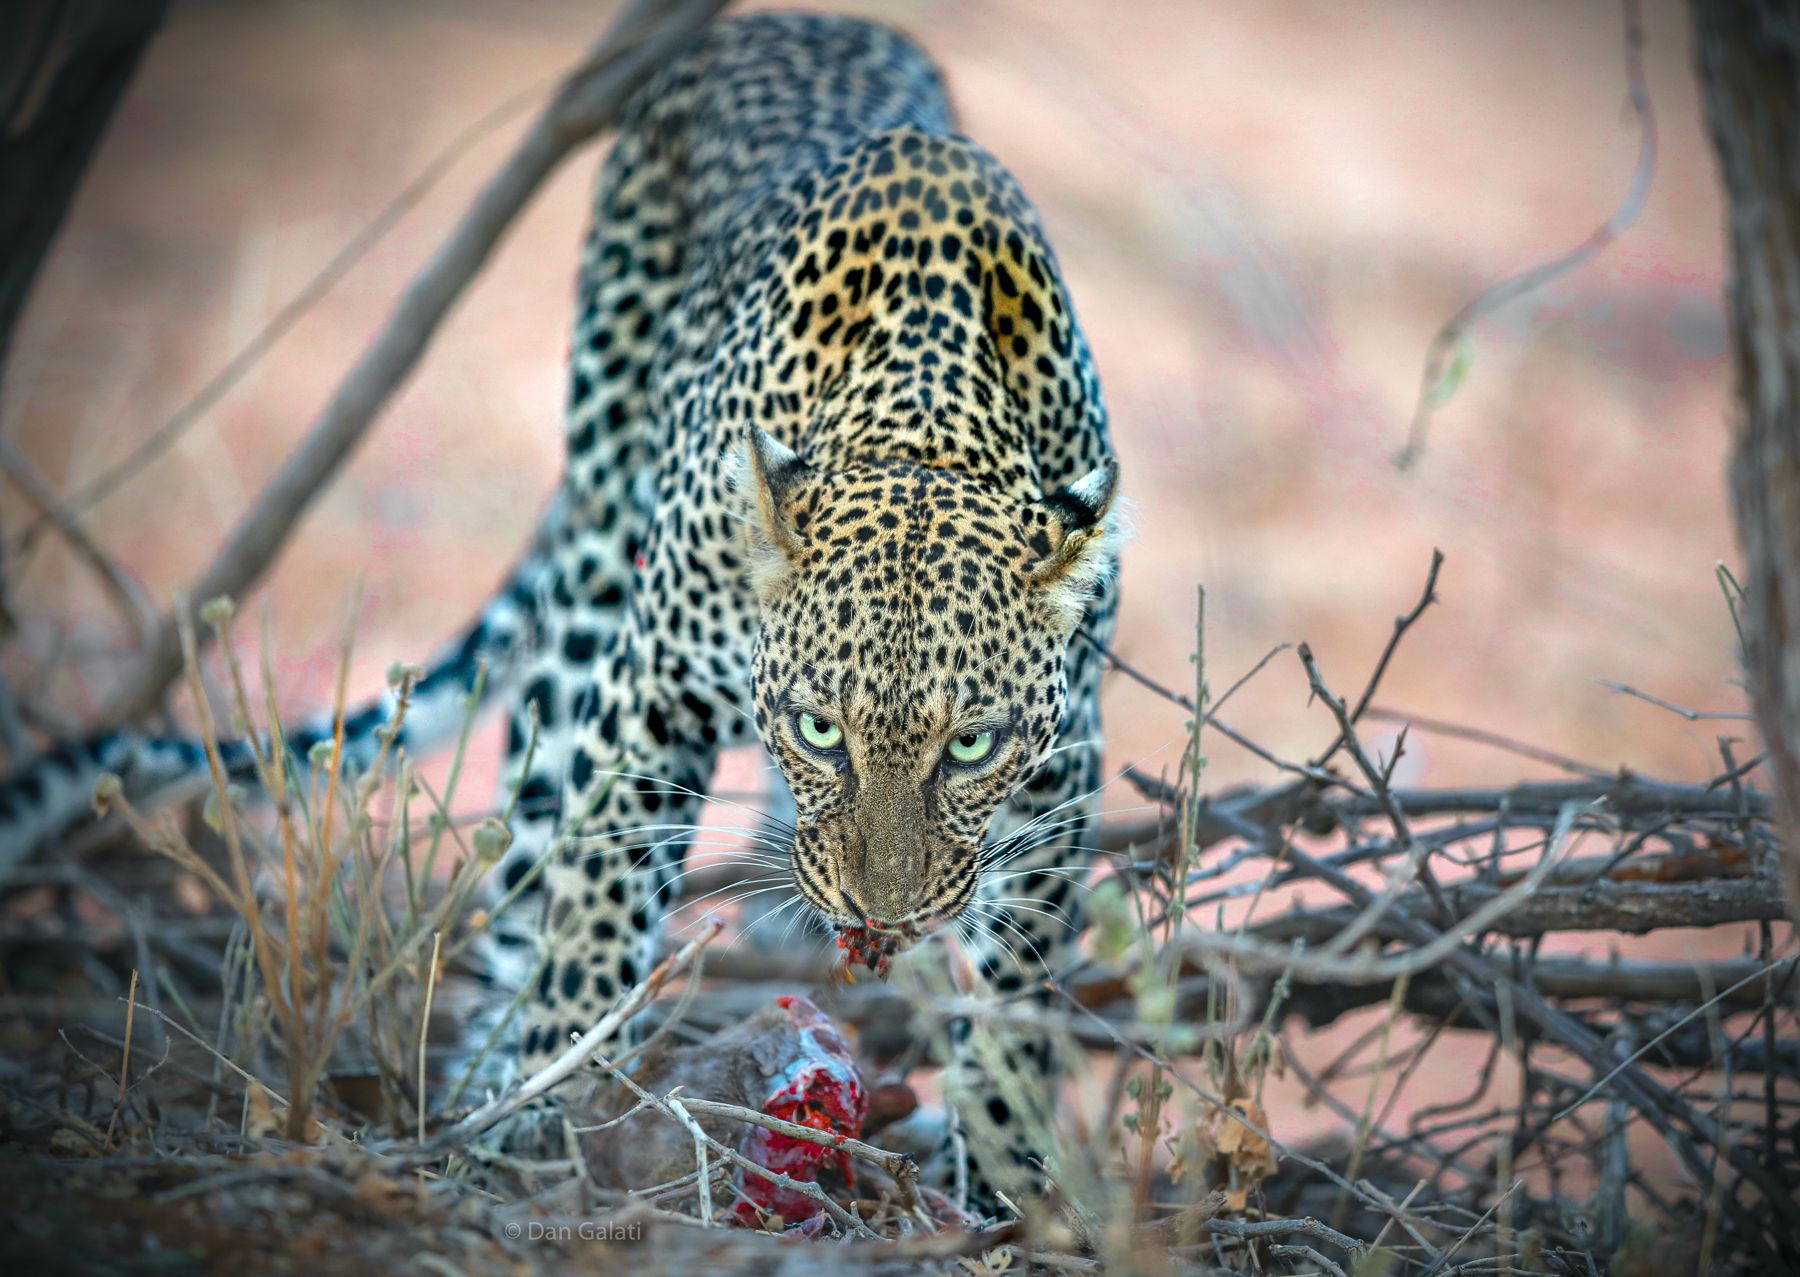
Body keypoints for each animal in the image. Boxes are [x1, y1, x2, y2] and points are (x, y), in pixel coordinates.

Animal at [0, 11, 1120, 1215]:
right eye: (822, 728)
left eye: (972, 746)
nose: (886, 912)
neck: (921, 426)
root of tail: (802, 18)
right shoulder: (650, 691)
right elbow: (594, 900)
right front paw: (553, 1107)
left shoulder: (1063, 768)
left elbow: (1019, 997)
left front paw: (1006, 1179)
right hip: (591, 561)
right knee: (532, 847)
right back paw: (495, 1073)